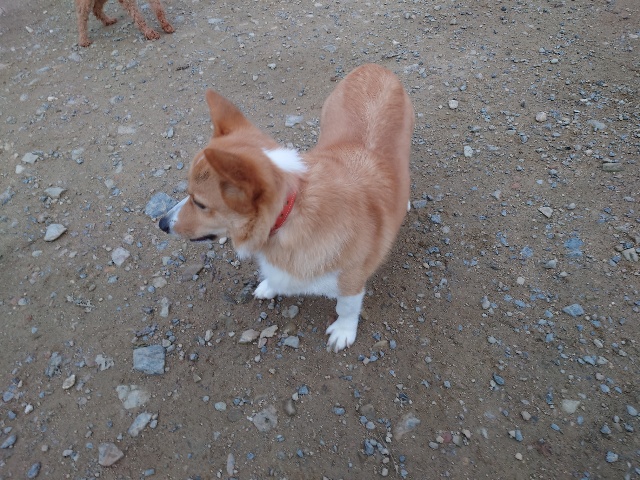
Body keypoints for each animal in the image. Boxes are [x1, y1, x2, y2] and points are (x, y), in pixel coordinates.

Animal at [159, 64, 414, 352]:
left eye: (200, 203)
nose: (162, 223)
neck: (290, 209)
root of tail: (375, 67)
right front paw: (270, 286)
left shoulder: (351, 280)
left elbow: (346, 308)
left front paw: (343, 332)